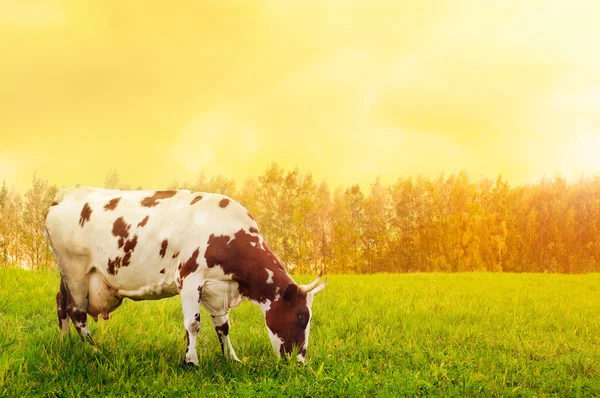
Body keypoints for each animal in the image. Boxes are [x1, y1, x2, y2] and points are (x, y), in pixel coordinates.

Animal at [45, 187, 328, 364]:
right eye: (301, 317)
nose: (299, 361)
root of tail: (65, 194)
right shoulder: (190, 279)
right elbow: (193, 324)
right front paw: (191, 361)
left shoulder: (217, 287)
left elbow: (223, 326)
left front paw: (231, 359)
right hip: (76, 270)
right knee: (76, 311)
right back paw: (93, 350)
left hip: (66, 274)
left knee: (61, 304)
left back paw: (64, 343)